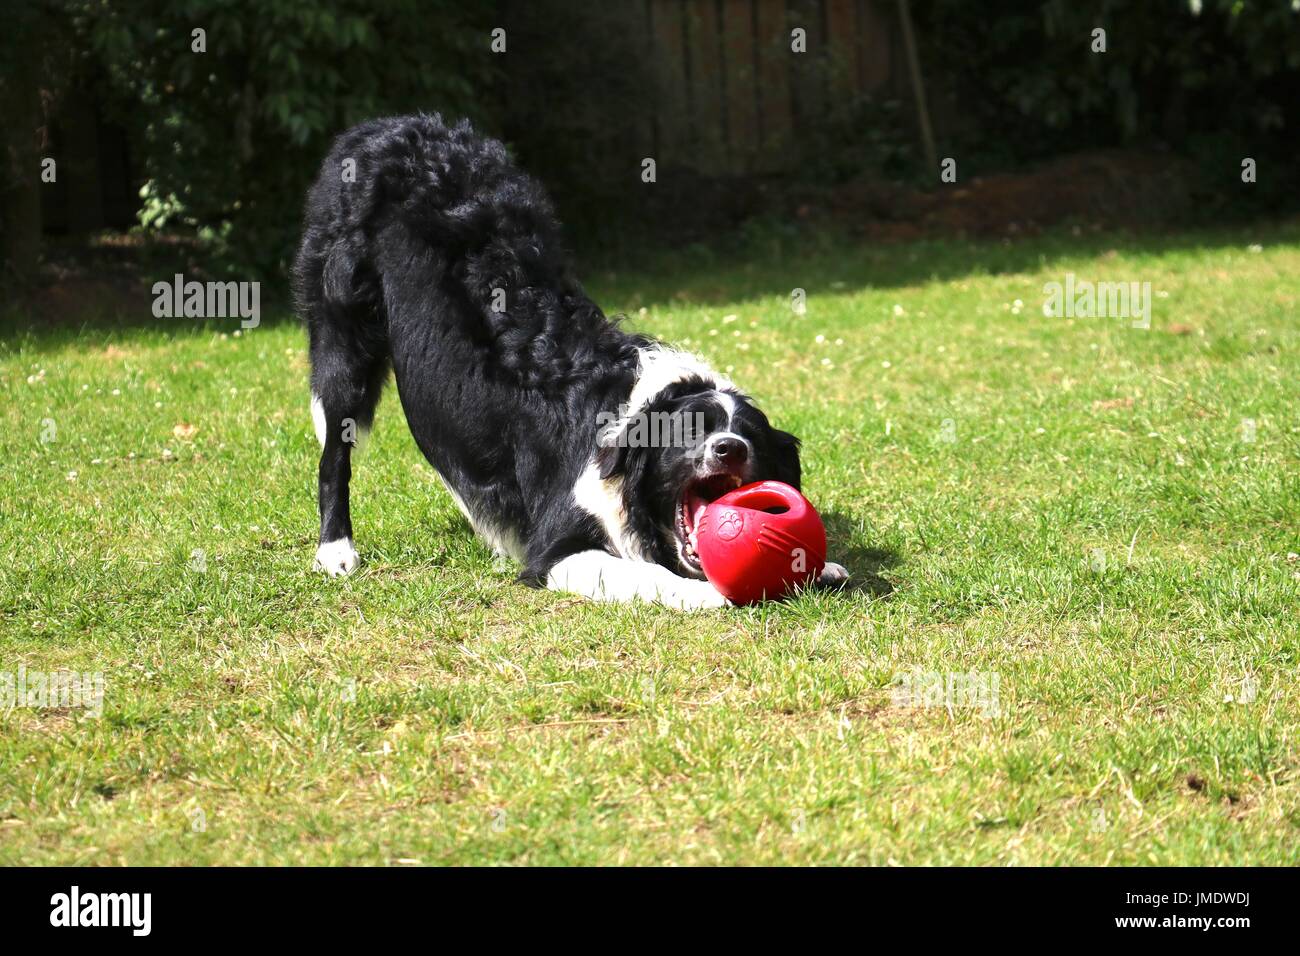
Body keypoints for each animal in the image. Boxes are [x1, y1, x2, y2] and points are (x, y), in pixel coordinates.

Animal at [292, 115, 852, 608]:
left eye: (751, 436)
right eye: (691, 429)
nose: (729, 449)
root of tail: (384, 126)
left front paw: (821, 565)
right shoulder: (558, 545)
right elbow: (644, 573)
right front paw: (706, 592)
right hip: (343, 327)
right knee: (334, 450)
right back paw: (336, 551)